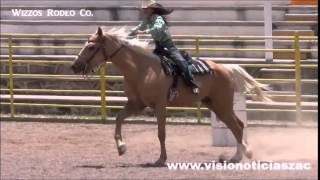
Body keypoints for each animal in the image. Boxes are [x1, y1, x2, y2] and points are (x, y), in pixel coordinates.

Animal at [72, 26, 270, 166]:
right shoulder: (137, 103)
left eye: (91, 47)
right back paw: (240, 155)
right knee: (238, 125)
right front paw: (121, 148)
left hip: (222, 105)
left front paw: (160, 159)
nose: (74, 65)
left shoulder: (159, 105)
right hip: (214, 104)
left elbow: (161, 133)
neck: (142, 69)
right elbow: (119, 118)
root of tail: (226, 68)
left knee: (236, 126)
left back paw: (238, 156)